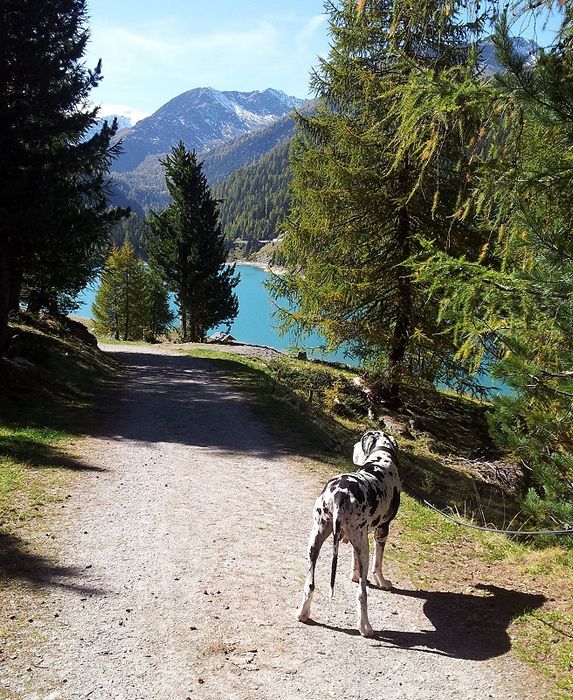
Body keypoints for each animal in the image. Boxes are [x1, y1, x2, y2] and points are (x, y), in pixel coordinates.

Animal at [297, 430, 401, 637]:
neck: (381, 458)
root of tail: (339, 495)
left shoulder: (359, 538)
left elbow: (354, 561)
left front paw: (354, 574)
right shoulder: (381, 530)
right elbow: (378, 564)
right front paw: (382, 582)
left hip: (316, 541)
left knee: (310, 584)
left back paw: (303, 614)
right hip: (364, 547)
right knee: (362, 594)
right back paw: (365, 627)